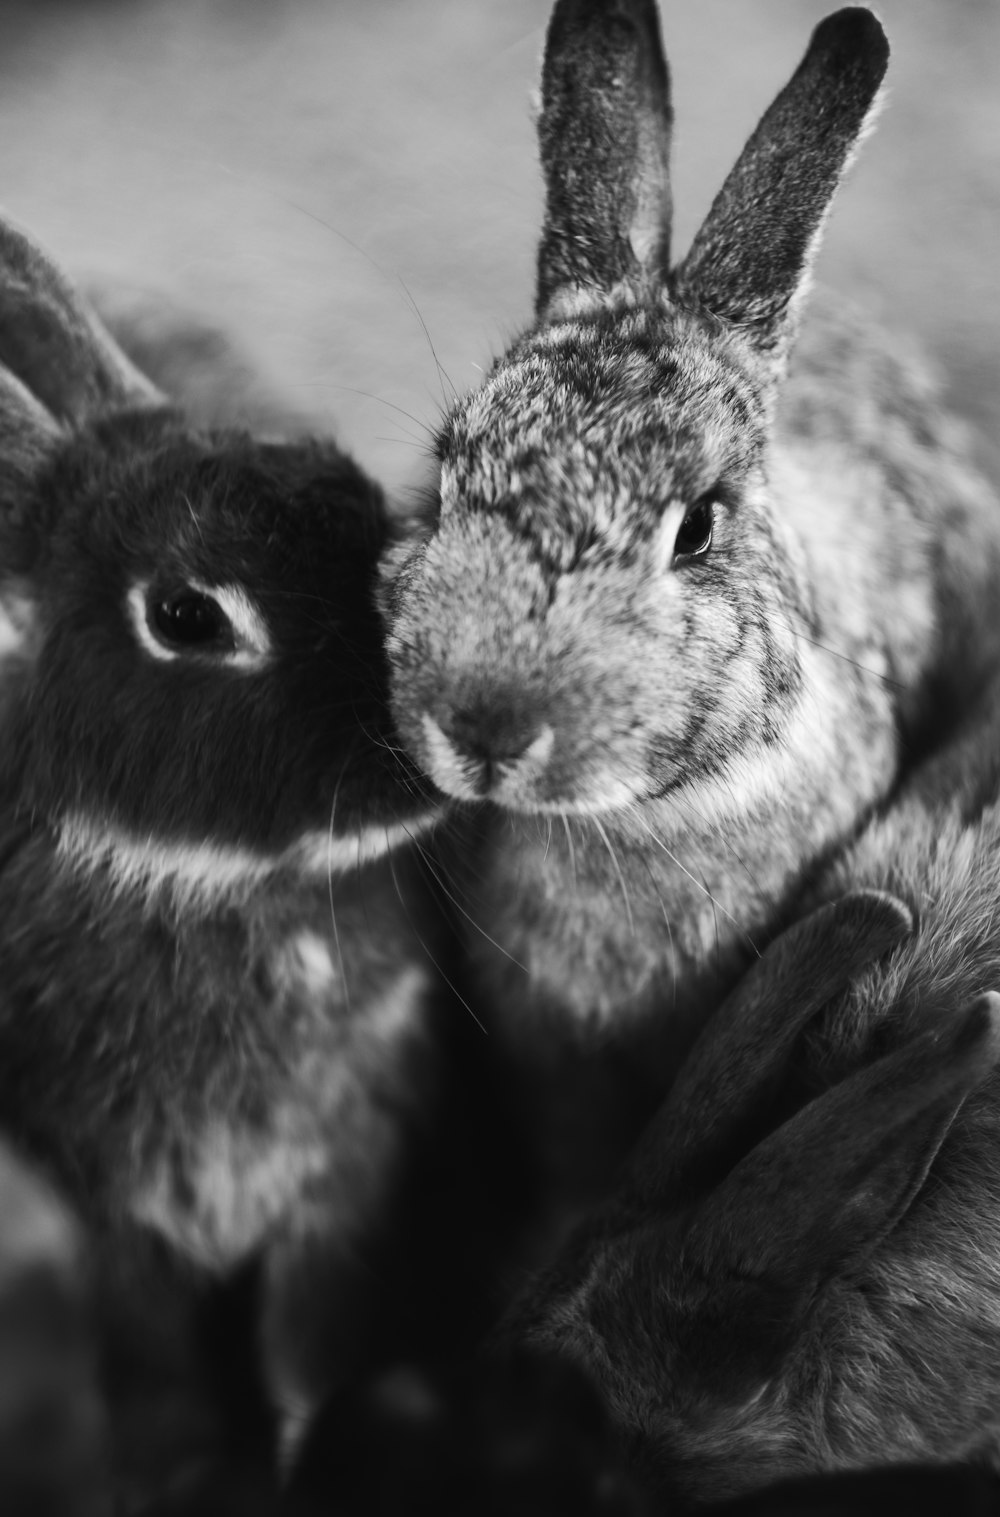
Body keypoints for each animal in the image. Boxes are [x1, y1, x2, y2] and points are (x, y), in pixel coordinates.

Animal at [0, 207, 449, 1498]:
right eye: (187, 616)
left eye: (364, 506)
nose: (423, 743)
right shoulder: (111, 1217)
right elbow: (152, 1372)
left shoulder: (341, 1184)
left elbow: (305, 1345)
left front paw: (299, 1456)